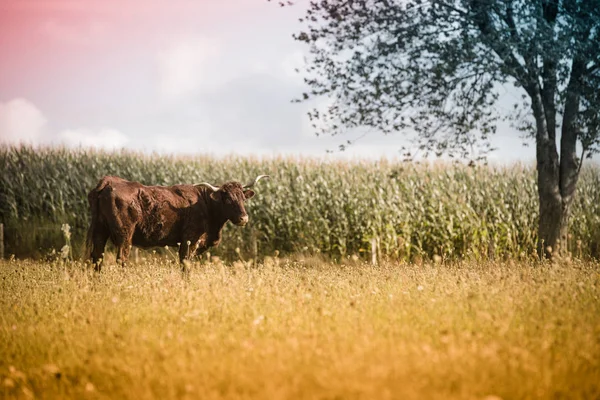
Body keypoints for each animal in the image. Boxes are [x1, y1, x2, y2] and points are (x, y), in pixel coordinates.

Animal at [85, 174, 268, 270]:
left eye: (243, 198)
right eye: (228, 200)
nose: (244, 218)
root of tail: (109, 180)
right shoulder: (189, 241)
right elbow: (185, 265)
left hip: (100, 232)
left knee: (97, 259)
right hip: (124, 235)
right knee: (120, 259)